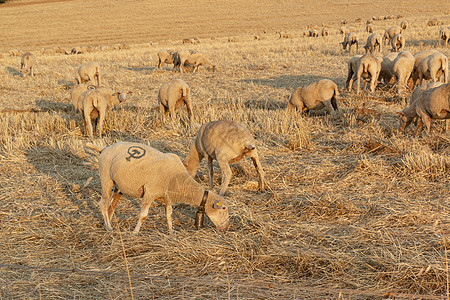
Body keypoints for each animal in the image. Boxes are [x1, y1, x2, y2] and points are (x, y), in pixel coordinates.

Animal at [86, 141, 230, 234]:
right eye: (223, 208)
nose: (227, 228)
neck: (180, 181)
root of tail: (105, 148)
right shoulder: (150, 193)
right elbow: (143, 216)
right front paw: (135, 233)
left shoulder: (168, 198)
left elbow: (169, 216)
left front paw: (171, 232)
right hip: (106, 178)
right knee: (103, 203)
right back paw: (109, 228)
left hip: (118, 185)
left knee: (111, 205)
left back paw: (107, 223)